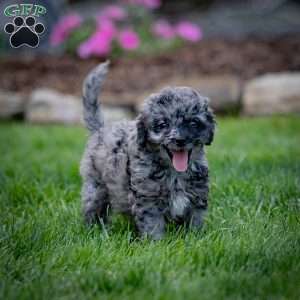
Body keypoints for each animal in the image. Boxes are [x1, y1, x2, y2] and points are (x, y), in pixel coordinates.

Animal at [79, 62, 216, 240]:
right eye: (163, 124)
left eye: (193, 123)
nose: (179, 140)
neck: (175, 173)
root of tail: (101, 128)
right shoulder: (148, 200)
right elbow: (153, 225)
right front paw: (156, 243)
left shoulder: (196, 196)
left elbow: (195, 221)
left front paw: (195, 238)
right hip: (95, 186)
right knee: (93, 208)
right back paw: (95, 230)